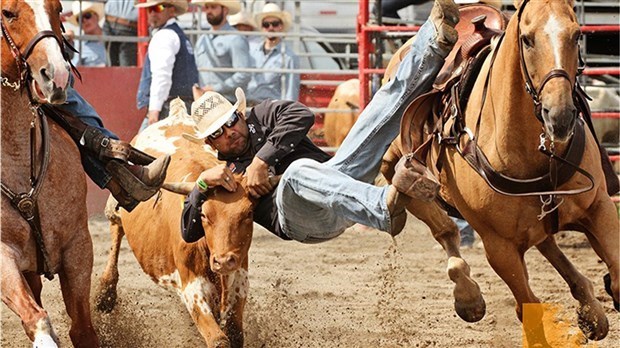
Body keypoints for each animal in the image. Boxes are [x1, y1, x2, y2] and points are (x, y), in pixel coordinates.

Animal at [1, 0, 99, 346]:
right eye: (7, 13)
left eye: (57, 9)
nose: (55, 75)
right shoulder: (2, 255)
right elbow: (37, 319)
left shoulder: (78, 244)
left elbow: (82, 329)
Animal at [382, 0, 620, 346]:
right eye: (527, 39)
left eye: (577, 35)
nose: (560, 116)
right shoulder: (499, 248)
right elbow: (527, 306)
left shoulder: (600, 209)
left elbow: (616, 277)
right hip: (403, 168)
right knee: (441, 227)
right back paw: (468, 298)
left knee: (546, 242)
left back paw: (591, 311)